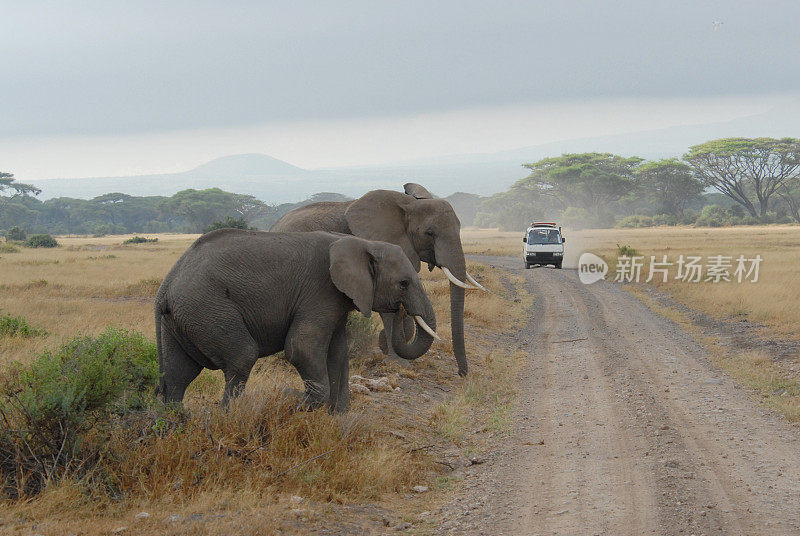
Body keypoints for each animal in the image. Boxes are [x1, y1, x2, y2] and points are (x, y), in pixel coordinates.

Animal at [155, 228, 438, 412]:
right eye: (403, 284)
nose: (402, 311)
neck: (360, 243)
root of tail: (165, 286)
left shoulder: (335, 300)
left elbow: (338, 353)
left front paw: (338, 417)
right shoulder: (320, 291)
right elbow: (301, 348)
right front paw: (295, 405)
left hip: (183, 317)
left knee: (177, 376)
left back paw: (174, 428)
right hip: (206, 307)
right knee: (241, 357)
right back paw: (229, 418)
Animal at [270, 182, 488, 374]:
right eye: (430, 233)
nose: (462, 373)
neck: (408, 205)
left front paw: (386, 345)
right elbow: (389, 306)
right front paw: (397, 361)